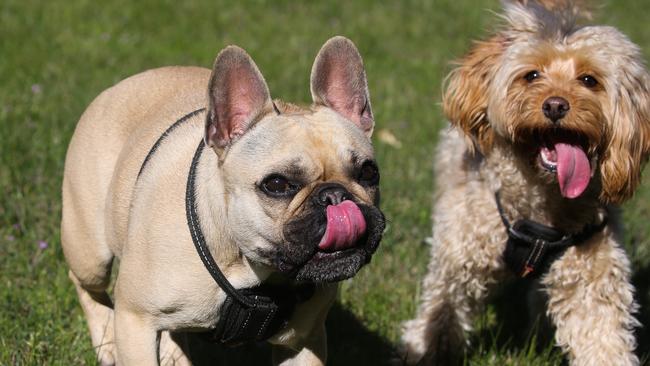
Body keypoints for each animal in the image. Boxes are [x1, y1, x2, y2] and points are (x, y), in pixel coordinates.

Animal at [400, 0, 648, 366]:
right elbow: (443, 307)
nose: (556, 105)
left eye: (589, 80)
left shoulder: (591, 274)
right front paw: (422, 348)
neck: (541, 206)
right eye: (531, 75)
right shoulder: (461, 253)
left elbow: (602, 337)